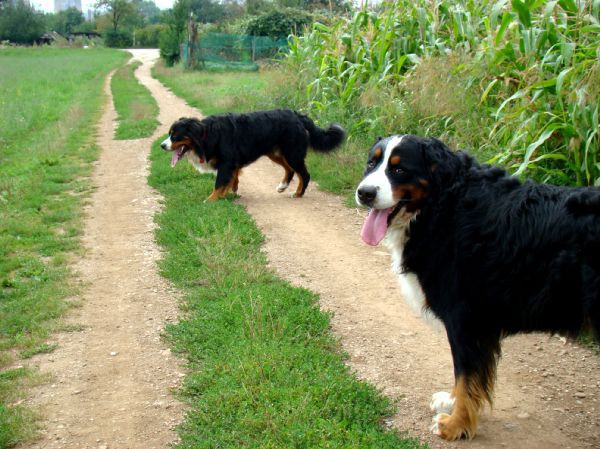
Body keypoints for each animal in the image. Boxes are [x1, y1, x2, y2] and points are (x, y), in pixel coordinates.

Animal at [162, 108, 344, 200]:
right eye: (169, 134)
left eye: (175, 136)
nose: (162, 145)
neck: (206, 134)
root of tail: (297, 115)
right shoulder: (232, 163)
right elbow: (232, 179)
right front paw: (231, 193)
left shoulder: (226, 162)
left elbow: (219, 183)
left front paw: (210, 200)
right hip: (276, 152)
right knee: (289, 170)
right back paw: (282, 186)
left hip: (292, 152)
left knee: (304, 174)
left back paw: (297, 193)